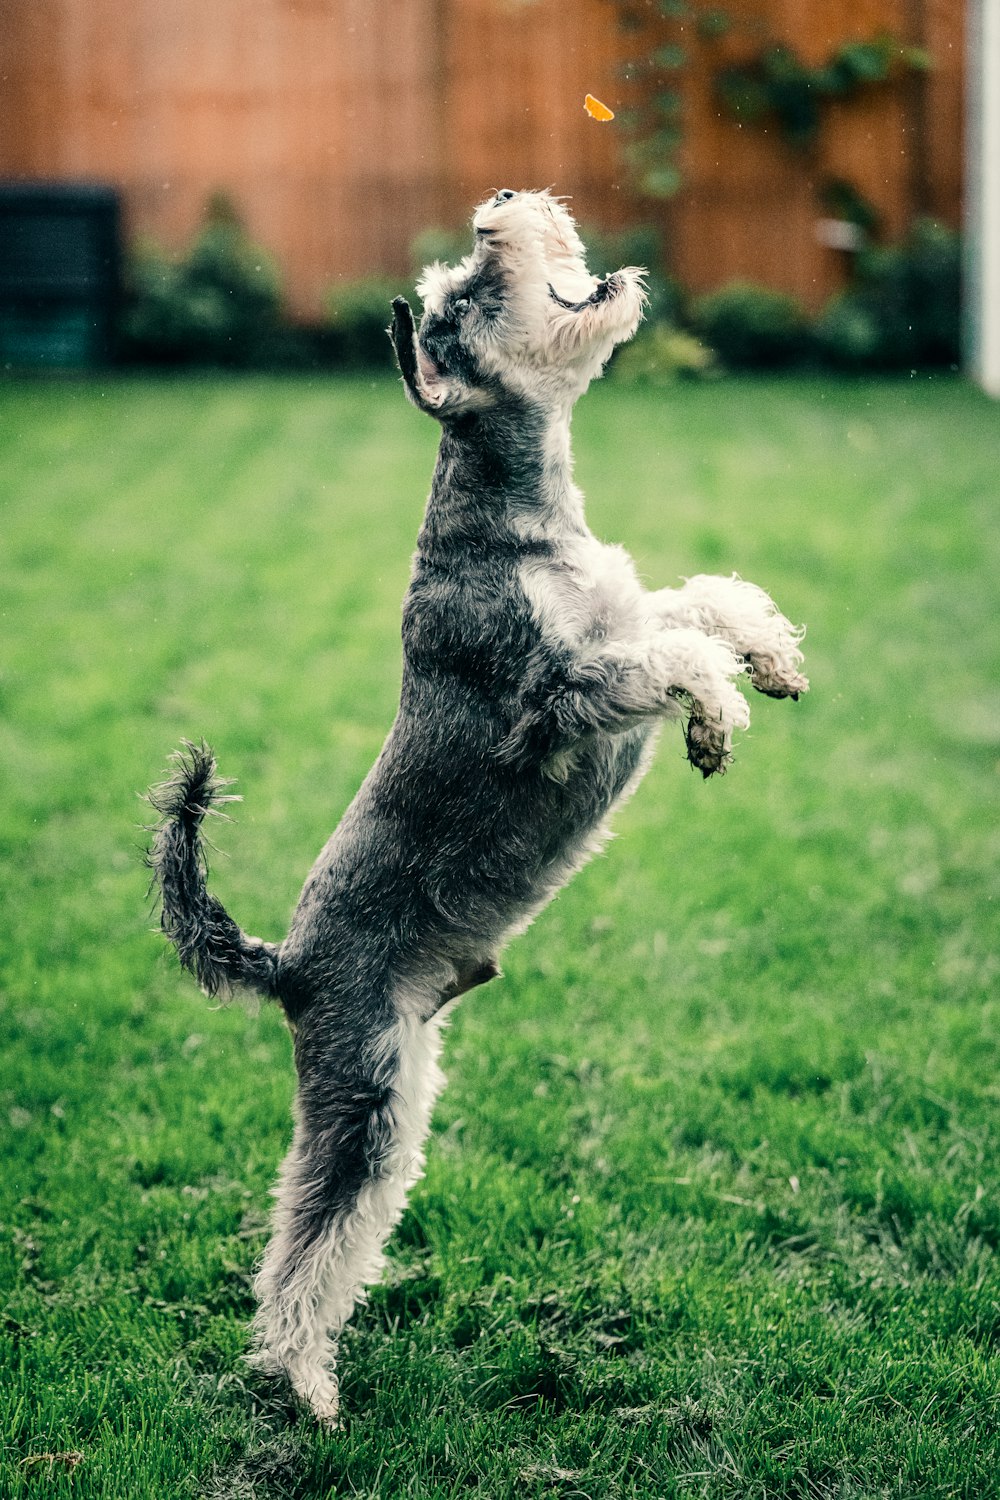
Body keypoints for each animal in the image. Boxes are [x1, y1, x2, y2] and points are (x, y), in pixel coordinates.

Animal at [146, 190, 803, 1428]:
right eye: (463, 293)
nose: (502, 205)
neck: (518, 513)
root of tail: (283, 964)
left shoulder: (618, 620)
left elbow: (697, 601)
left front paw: (773, 660)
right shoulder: (556, 695)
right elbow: (670, 654)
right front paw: (716, 717)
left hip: (399, 1089)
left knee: (330, 1242)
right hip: (363, 1096)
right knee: (301, 1250)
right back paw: (302, 1387)